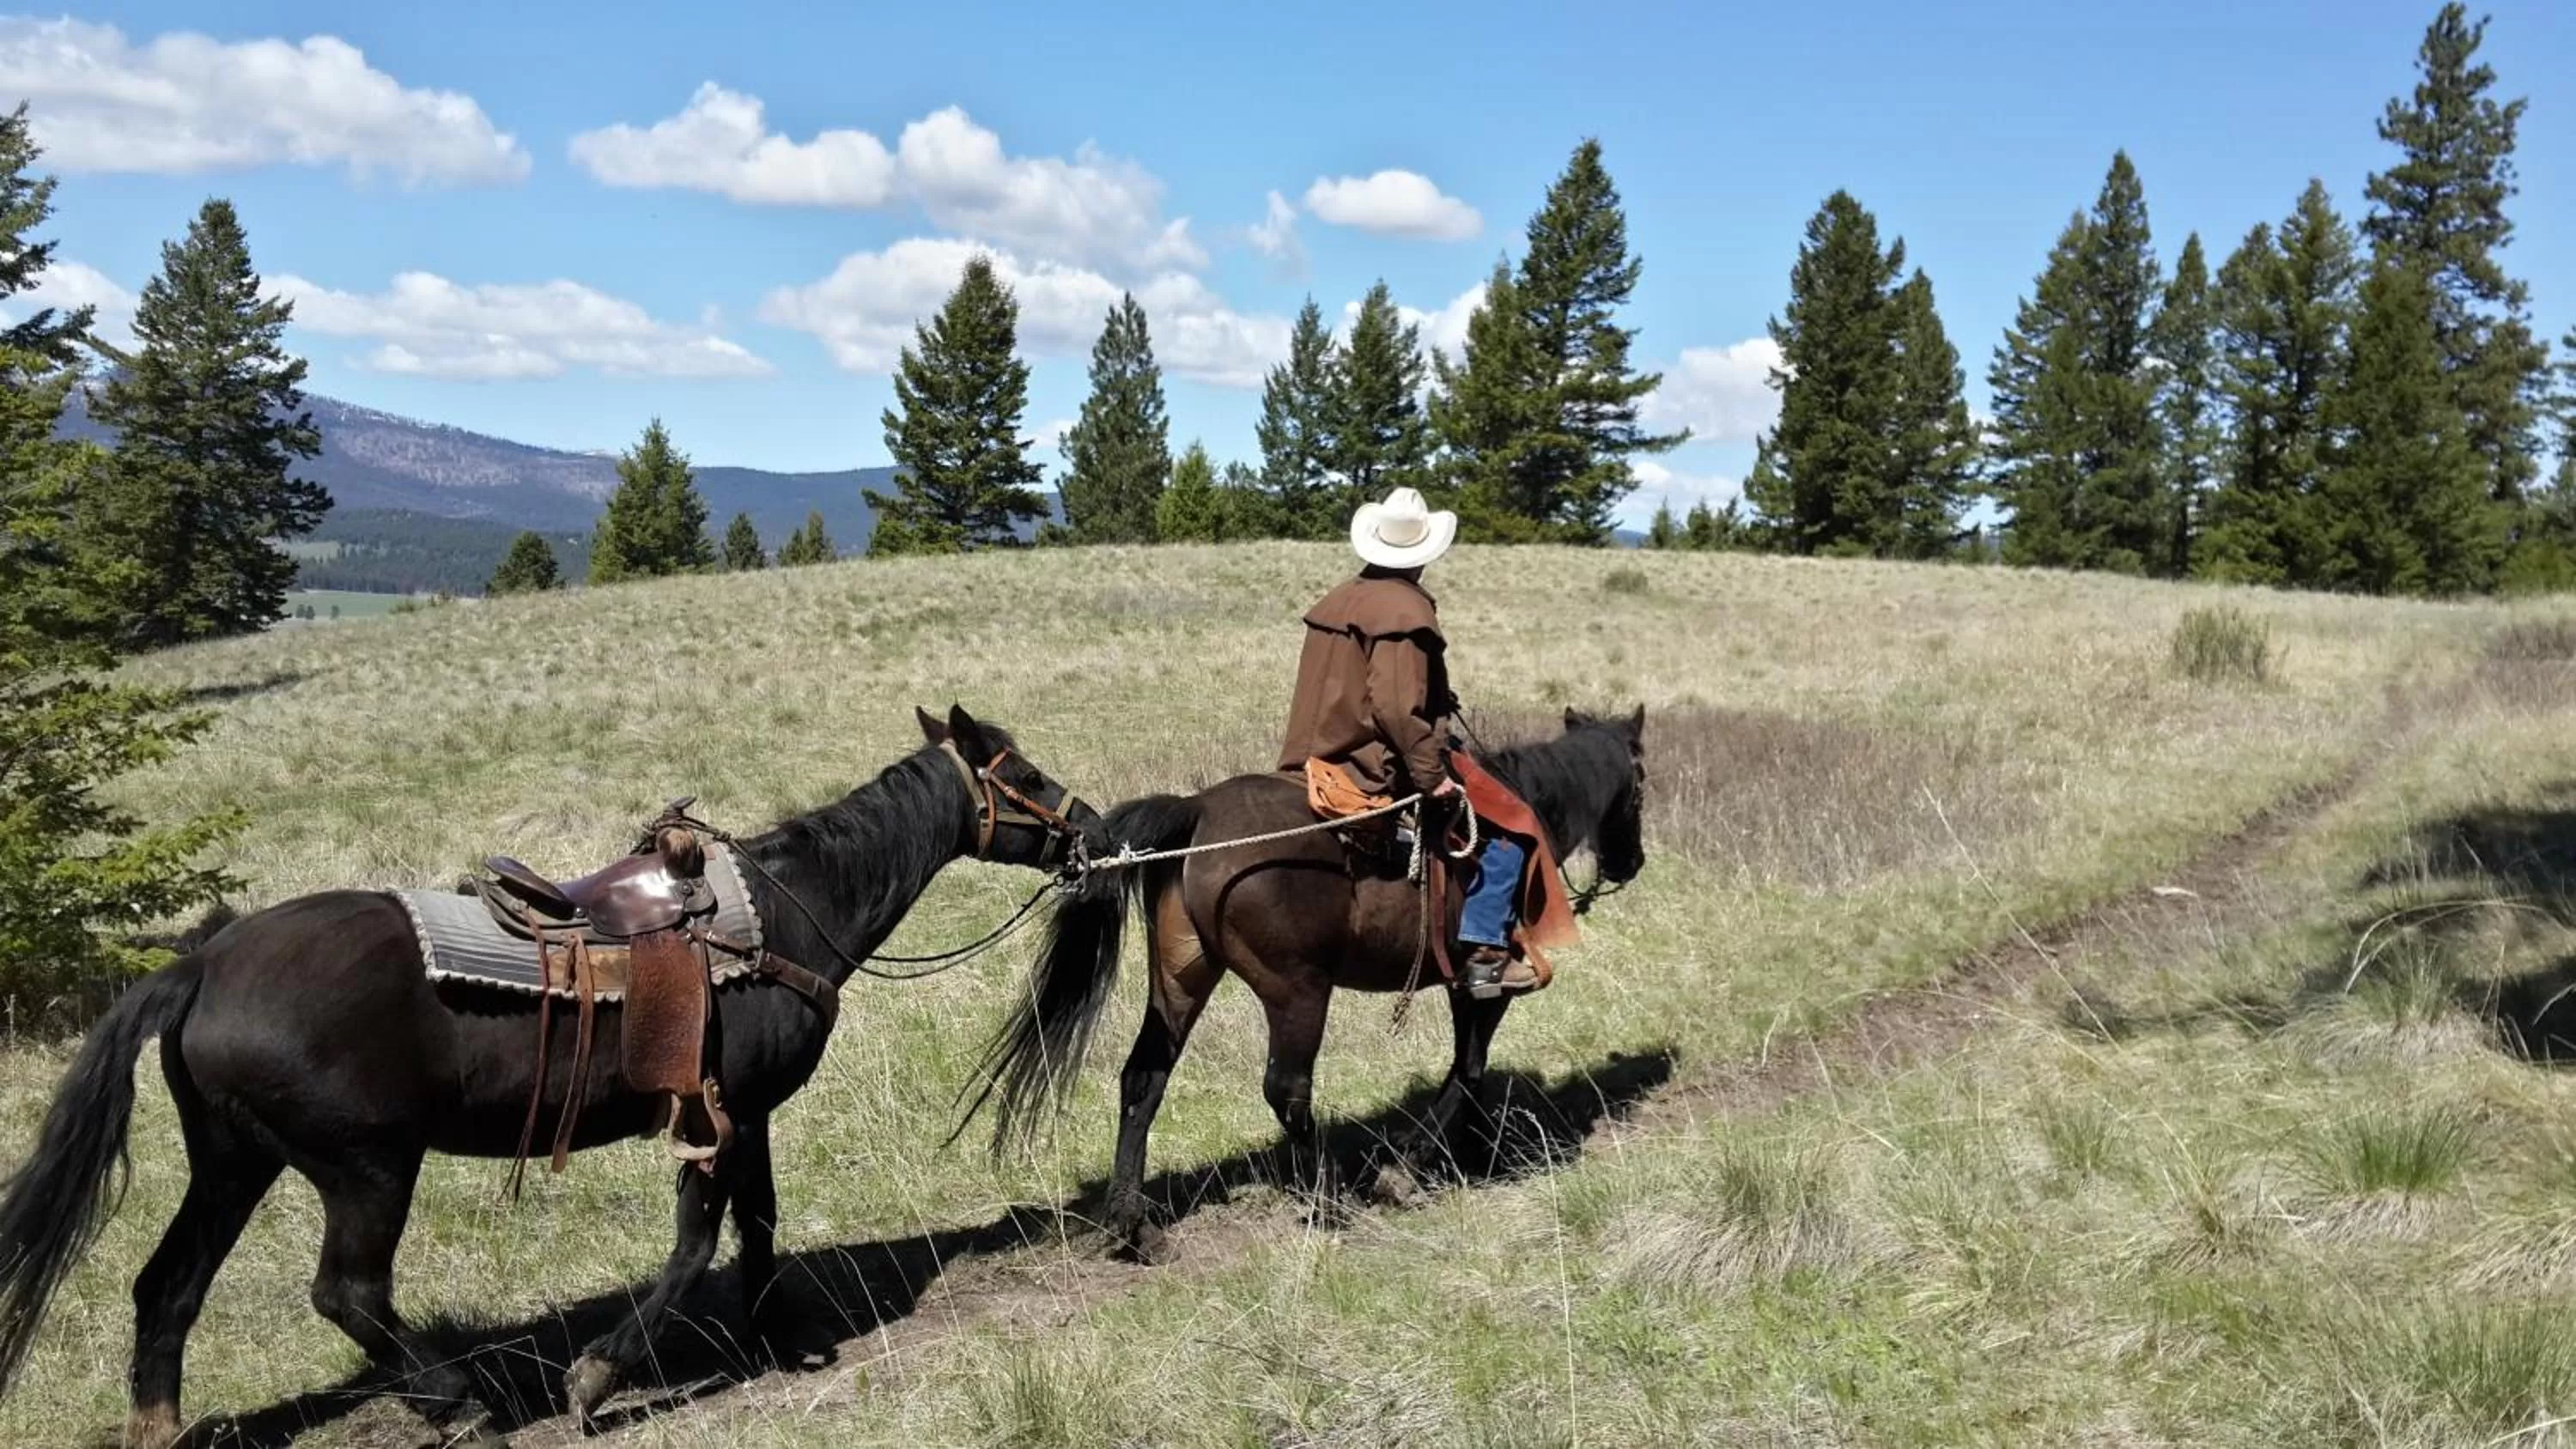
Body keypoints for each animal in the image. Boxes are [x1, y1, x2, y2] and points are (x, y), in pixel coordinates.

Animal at [0, 704, 1099, 1449]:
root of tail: (200, 966)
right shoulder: (722, 1111)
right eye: (1026, 772)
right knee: (348, 1292)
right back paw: (458, 1402)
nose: (1088, 826)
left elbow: (759, 1223)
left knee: (167, 1287)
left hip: (234, 1161)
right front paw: (600, 1375)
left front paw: (772, 1332)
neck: (787, 911)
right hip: (365, 1167)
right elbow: (699, 1240)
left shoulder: (748, 1114)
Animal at [959, 705, 1648, 1261]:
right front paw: (1415, 1164)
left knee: (1143, 1078)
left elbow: (1469, 1070)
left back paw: (1135, 1225)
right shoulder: (1487, 985)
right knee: (1287, 1089)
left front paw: (1470, 1153)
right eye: (1640, 783)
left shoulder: (1463, 989)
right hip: (1298, 992)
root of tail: (1198, 811)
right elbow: (1469, 1071)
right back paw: (1328, 1196)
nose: (1632, 862)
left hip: (1182, 978)